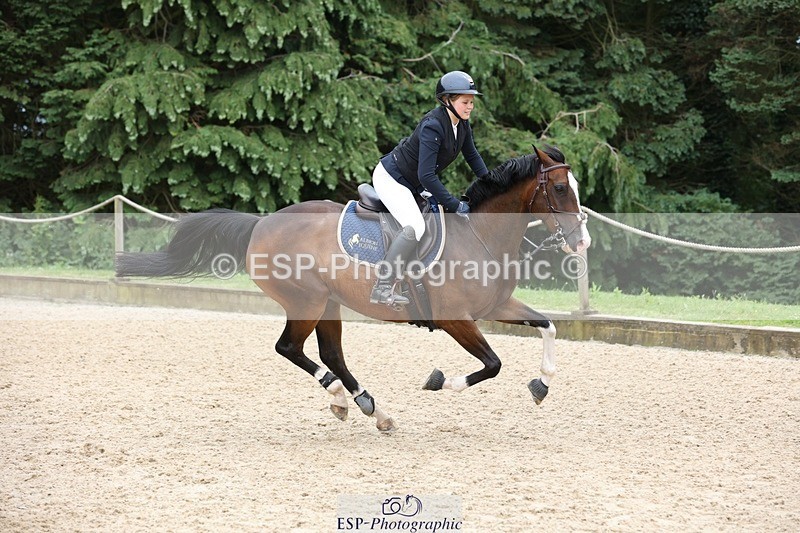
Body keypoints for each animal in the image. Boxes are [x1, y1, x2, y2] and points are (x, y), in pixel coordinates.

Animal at [116, 145, 591, 432]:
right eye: (560, 188)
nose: (582, 240)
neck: (480, 234)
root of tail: (261, 224)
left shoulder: (497, 305)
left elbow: (547, 327)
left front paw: (542, 384)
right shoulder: (456, 318)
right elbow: (492, 364)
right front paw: (439, 381)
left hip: (328, 303)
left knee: (330, 353)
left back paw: (367, 406)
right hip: (307, 300)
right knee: (290, 348)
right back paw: (344, 397)